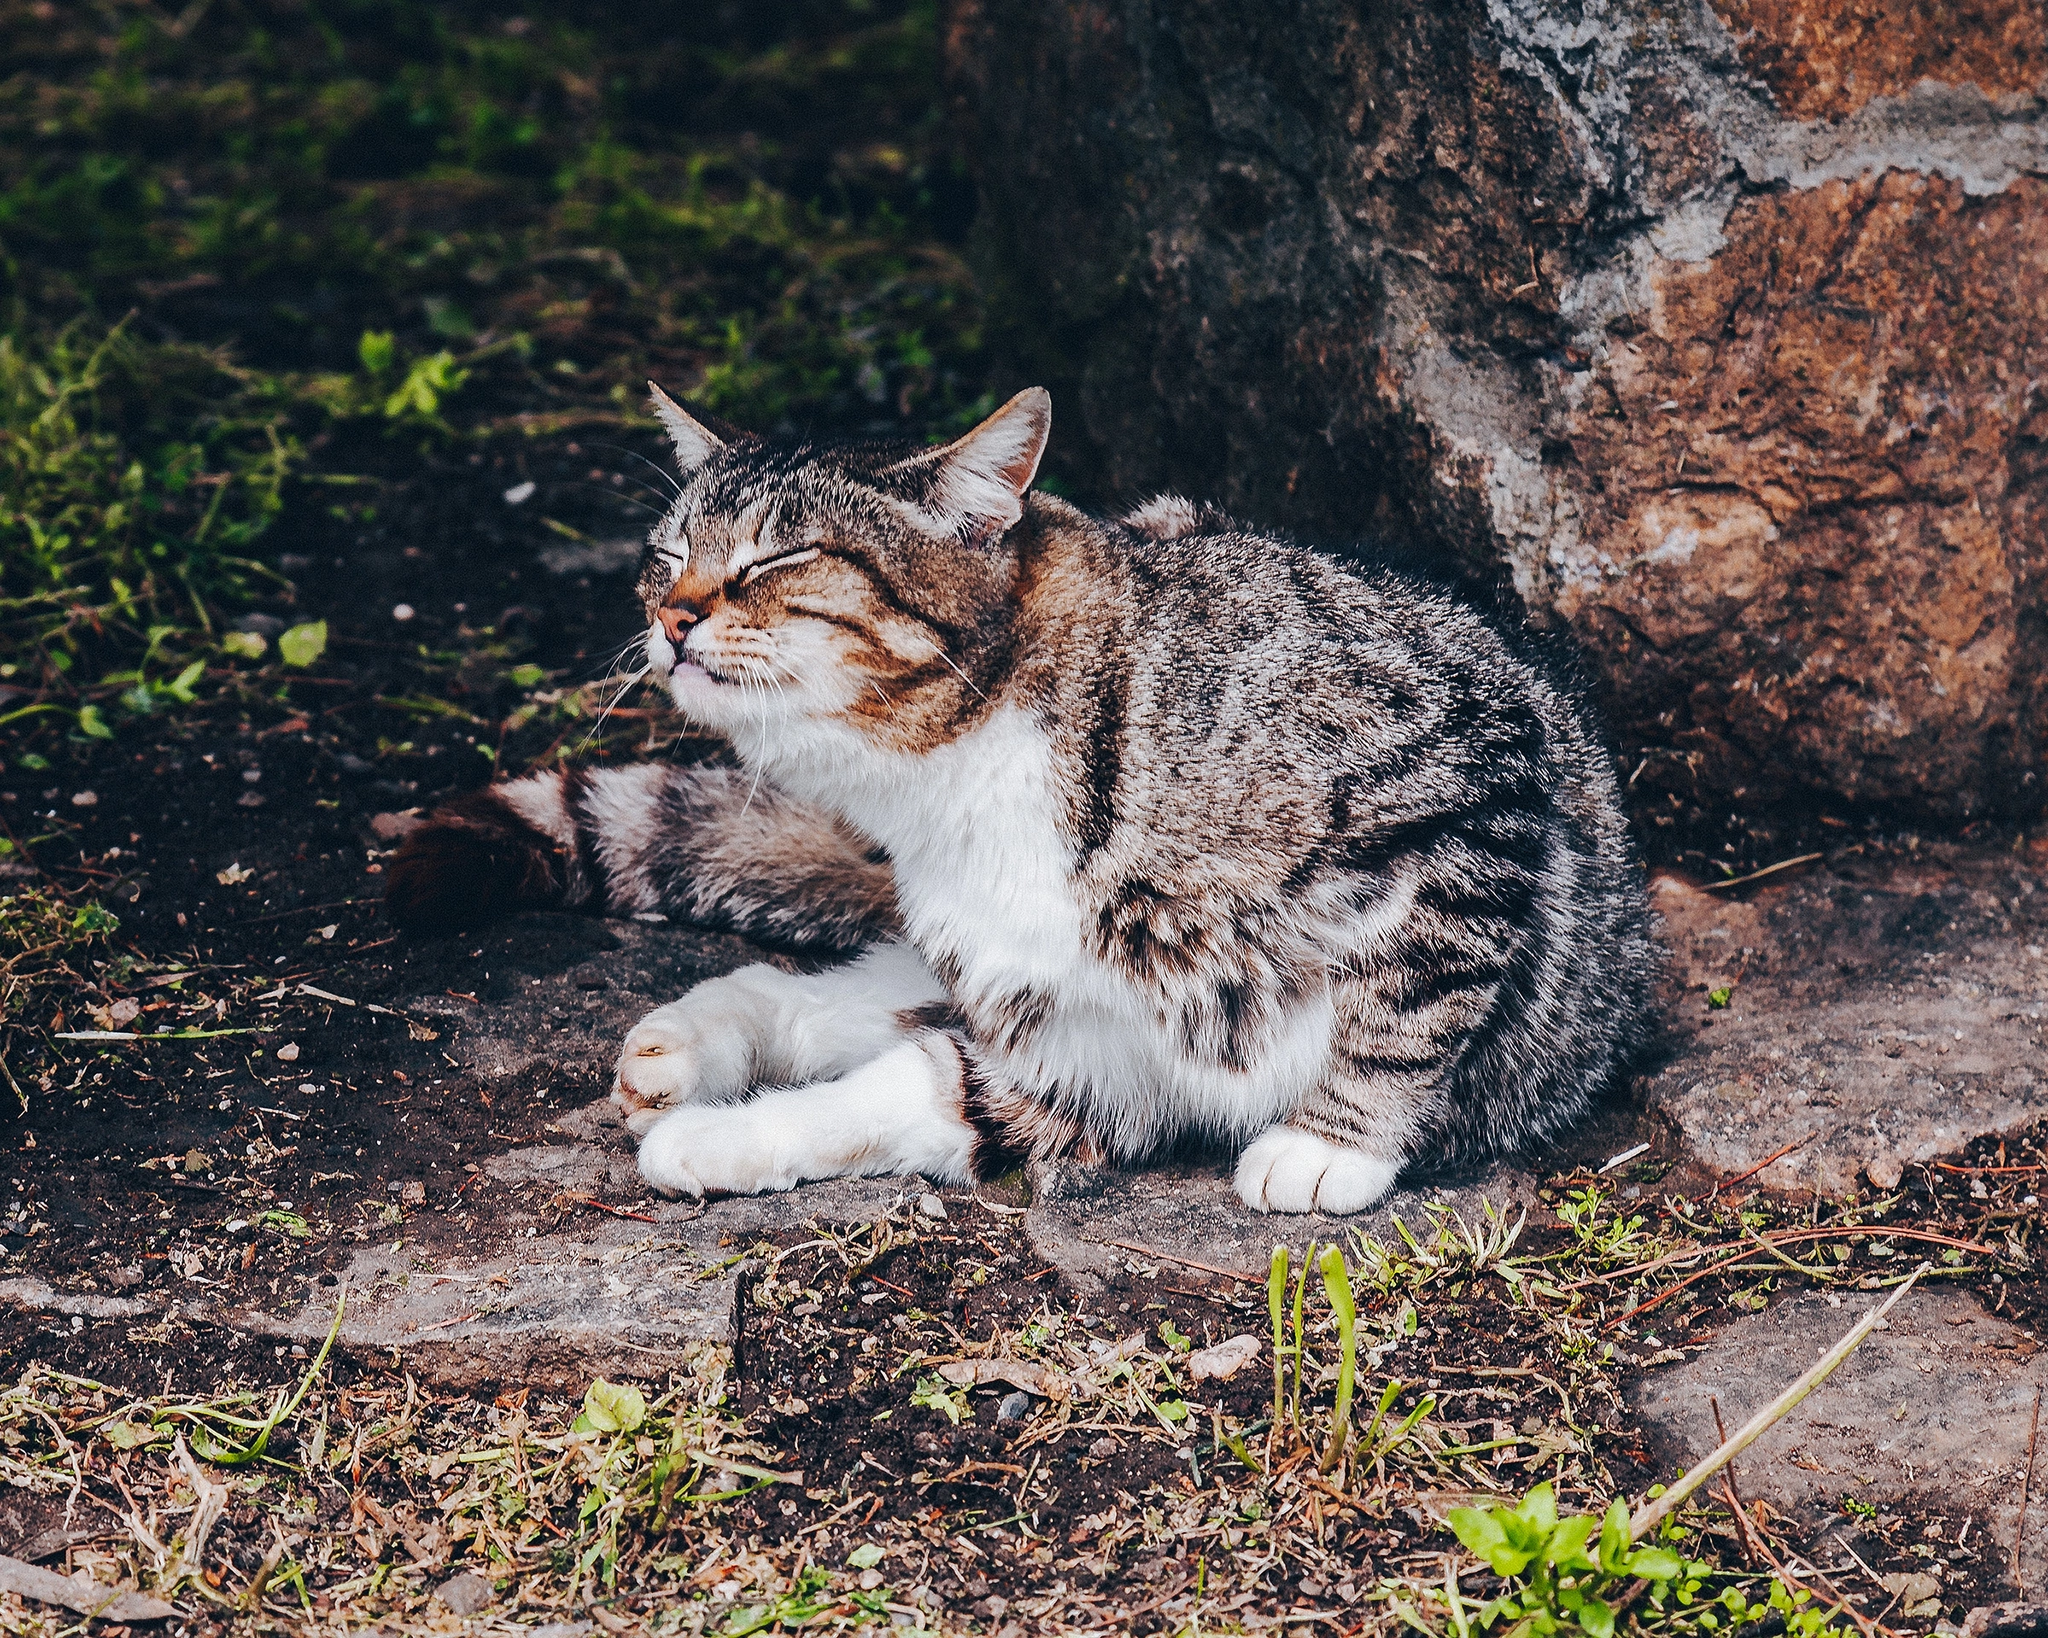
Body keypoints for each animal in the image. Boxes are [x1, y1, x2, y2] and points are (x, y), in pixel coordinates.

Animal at [387, 380, 1662, 1203]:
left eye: (774, 560)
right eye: (663, 555)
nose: (670, 614)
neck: (953, 781)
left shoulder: (1467, 784)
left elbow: (1410, 1001)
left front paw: (1333, 1146)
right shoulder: (1078, 1052)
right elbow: (920, 1083)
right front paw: (724, 1137)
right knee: (873, 991)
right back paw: (697, 1039)